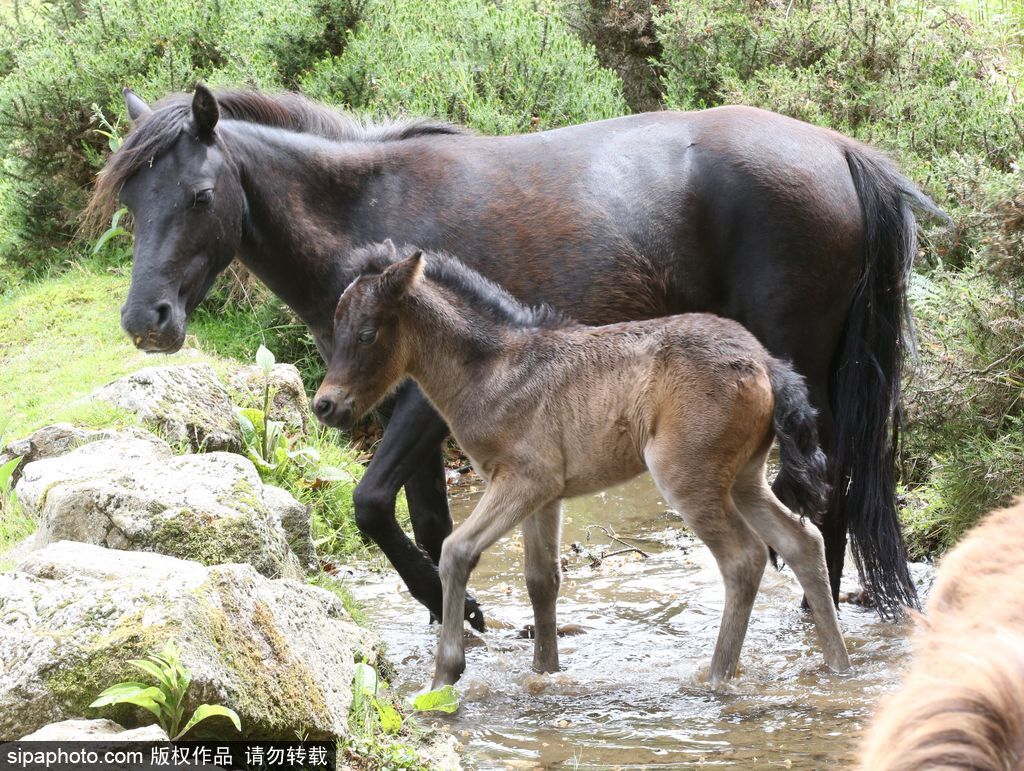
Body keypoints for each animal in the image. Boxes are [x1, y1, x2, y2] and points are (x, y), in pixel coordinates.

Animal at [92, 85, 937, 626]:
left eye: (200, 196)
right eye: (132, 199)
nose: (146, 319)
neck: (366, 214)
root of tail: (839, 150)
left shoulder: (419, 405)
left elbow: (371, 504)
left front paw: (458, 606)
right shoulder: (405, 406)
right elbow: (427, 519)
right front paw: (454, 614)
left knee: (818, 492)